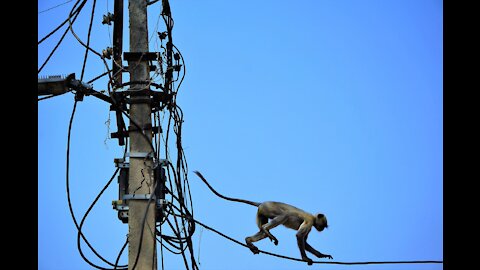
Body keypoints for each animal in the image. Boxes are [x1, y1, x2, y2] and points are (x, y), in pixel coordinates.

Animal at [193, 171, 332, 266]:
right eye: (323, 225)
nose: (322, 229)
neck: (313, 217)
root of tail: (261, 203)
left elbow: (305, 242)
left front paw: (322, 255)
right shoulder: (309, 221)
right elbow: (299, 236)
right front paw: (305, 258)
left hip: (261, 213)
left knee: (262, 231)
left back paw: (249, 240)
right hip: (270, 208)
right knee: (283, 216)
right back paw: (265, 230)